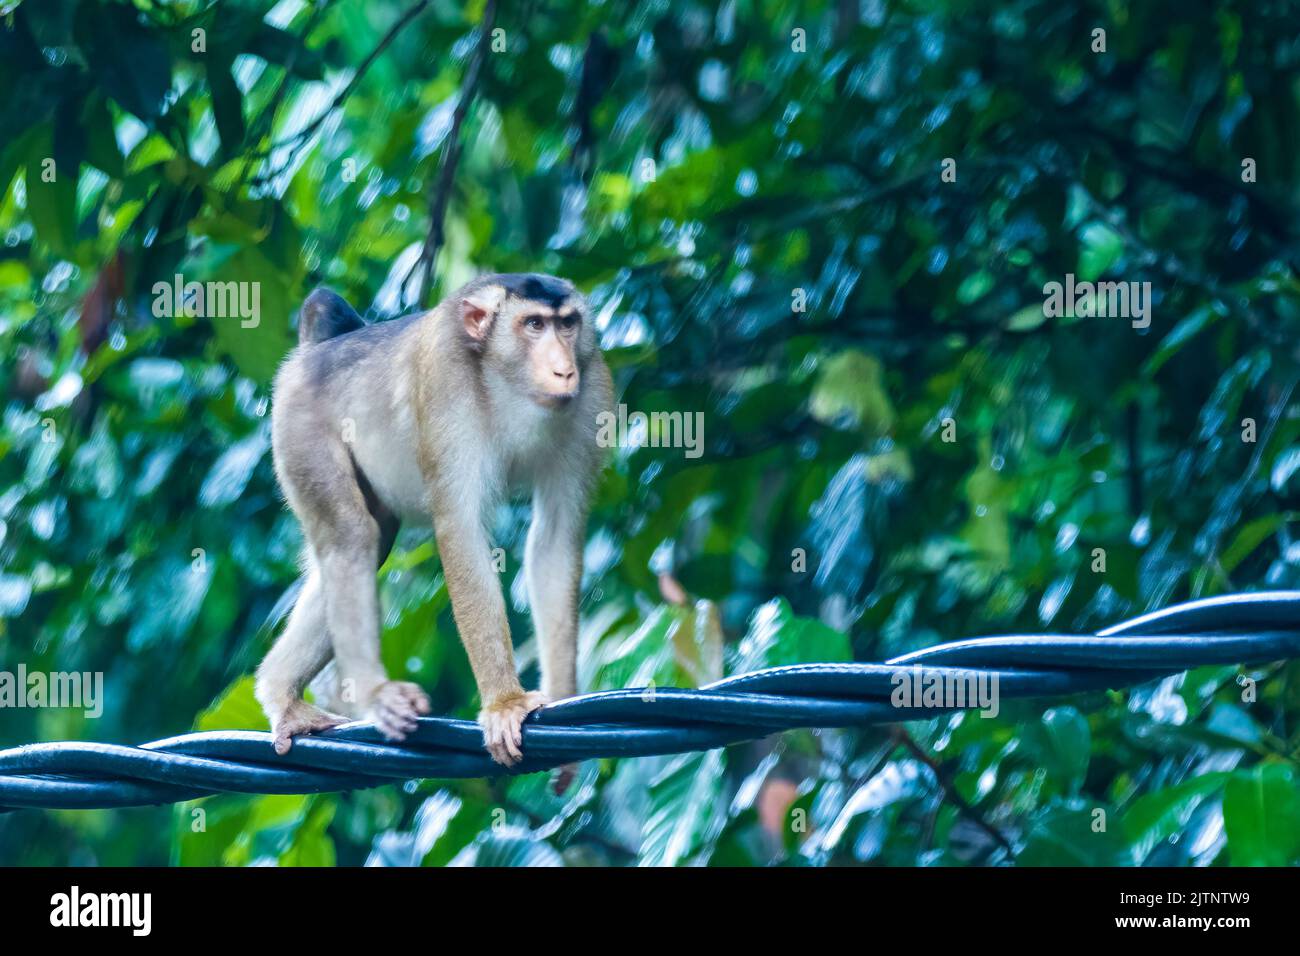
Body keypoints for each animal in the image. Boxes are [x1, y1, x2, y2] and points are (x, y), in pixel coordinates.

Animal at [258, 273, 613, 764]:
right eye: (534, 324)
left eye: (568, 324)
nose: (564, 370)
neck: (504, 381)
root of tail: (323, 346)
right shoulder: (446, 384)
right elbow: (460, 531)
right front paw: (505, 703)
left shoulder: (593, 390)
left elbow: (555, 539)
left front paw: (562, 702)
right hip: (299, 427)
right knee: (352, 537)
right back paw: (370, 693)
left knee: (373, 540)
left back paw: (281, 694)